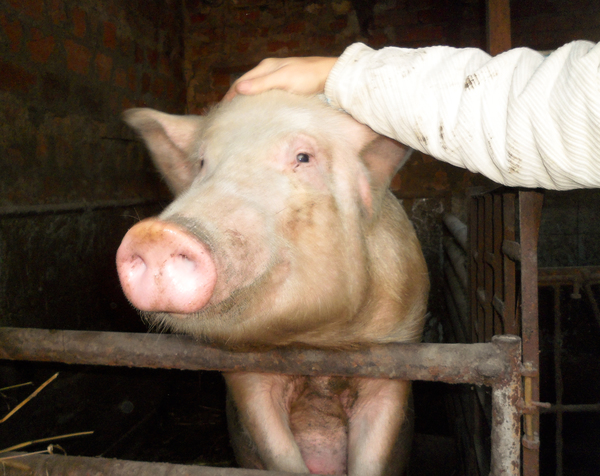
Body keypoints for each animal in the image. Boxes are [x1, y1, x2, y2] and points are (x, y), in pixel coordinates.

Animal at [116, 90, 426, 476]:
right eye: (202, 163)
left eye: (303, 157)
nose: (155, 233)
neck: (315, 341)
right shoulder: (245, 374)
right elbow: (277, 449)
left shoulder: (395, 355)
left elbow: (372, 452)